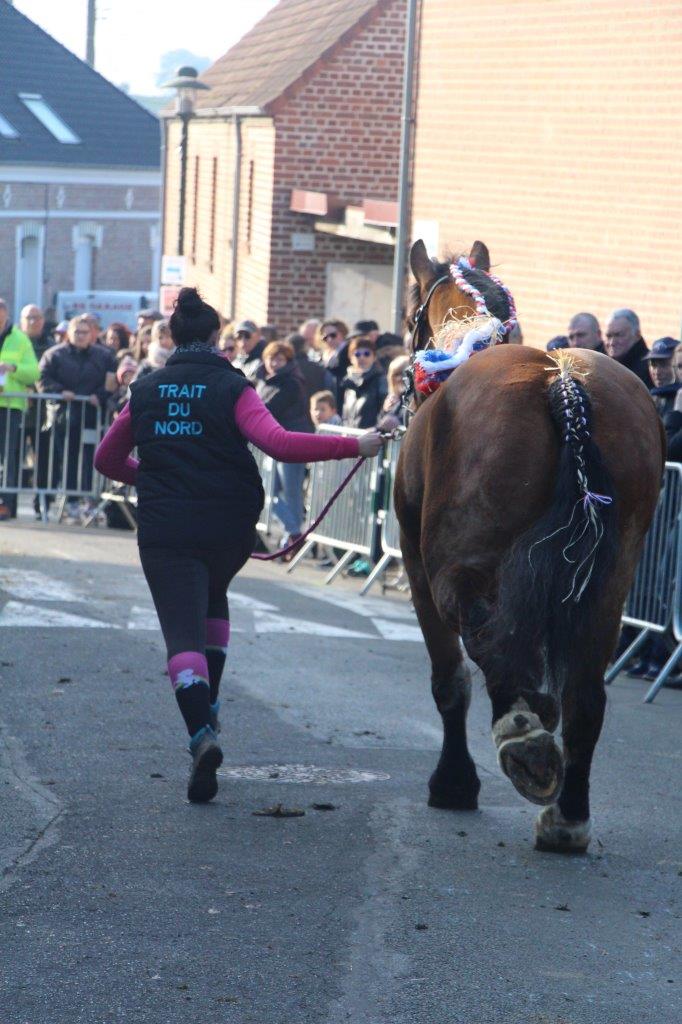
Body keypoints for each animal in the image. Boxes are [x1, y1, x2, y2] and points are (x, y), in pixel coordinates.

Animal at [393, 237, 663, 847]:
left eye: (407, 314)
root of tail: (561, 381)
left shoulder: (417, 564)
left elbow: (450, 678)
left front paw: (454, 782)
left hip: (456, 567)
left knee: (487, 638)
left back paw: (526, 741)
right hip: (607, 584)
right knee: (585, 696)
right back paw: (567, 816)